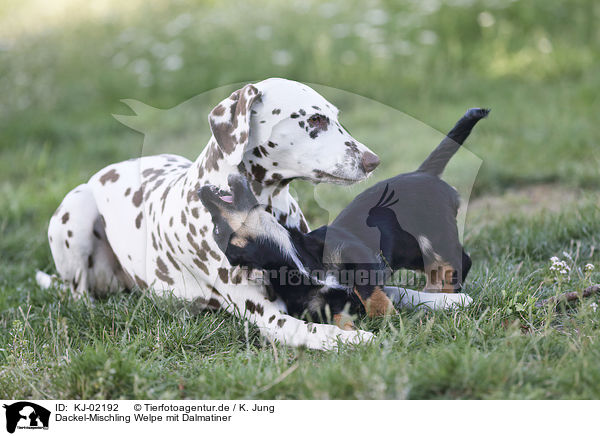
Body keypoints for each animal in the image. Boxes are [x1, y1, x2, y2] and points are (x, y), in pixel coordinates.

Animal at [37, 78, 382, 350]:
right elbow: (312, 330)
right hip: (76, 212)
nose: (373, 161)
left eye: (334, 116)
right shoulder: (270, 316)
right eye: (315, 120)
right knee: (78, 293)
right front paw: (354, 339)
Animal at [199, 108, 490, 328]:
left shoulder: (356, 255)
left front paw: (385, 317)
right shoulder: (323, 307)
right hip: (413, 250)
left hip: (434, 238)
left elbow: (368, 292)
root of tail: (424, 173)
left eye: (216, 229)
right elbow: (341, 317)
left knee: (458, 262)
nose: (202, 192)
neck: (296, 259)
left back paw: (446, 293)